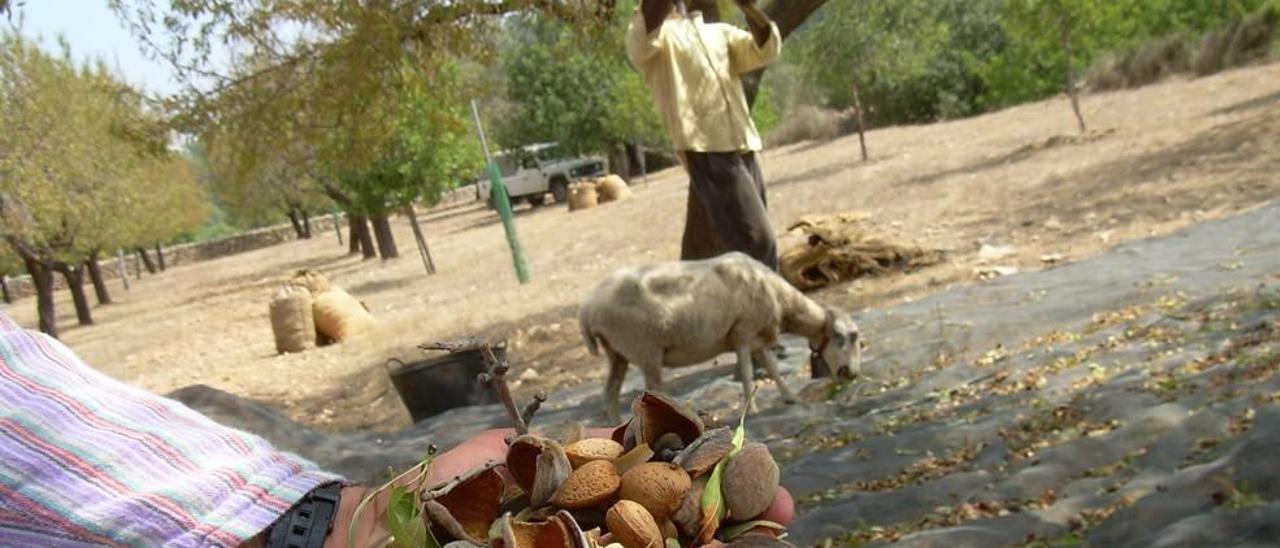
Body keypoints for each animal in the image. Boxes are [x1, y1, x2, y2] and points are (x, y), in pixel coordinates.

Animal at [578, 250, 860, 422]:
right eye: (841, 338)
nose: (852, 374)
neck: (781, 298)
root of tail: (588, 308)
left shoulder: (757, 336)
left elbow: (772, 368)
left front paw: (790, 397)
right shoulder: (743, 332)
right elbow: (747, 373)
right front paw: (752, 408)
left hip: (617, 352)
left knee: (610, 392)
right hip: (645, 347)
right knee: (653, 388)